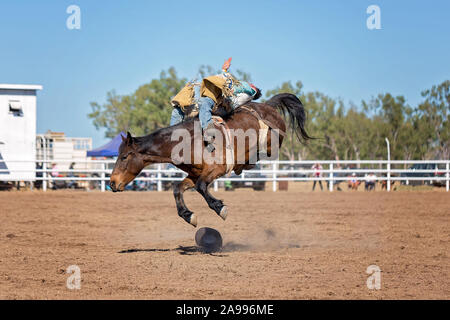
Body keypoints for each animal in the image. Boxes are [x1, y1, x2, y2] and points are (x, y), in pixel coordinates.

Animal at [110, 94, 312, 226]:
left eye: (124, 156)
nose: (112, 183)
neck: (189, 142)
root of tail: (267, 105)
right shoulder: (195, 175)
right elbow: (177, 189)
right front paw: (188, 215)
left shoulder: (216, 170)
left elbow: (201, 188)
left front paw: (219, 208)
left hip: (273, 143)